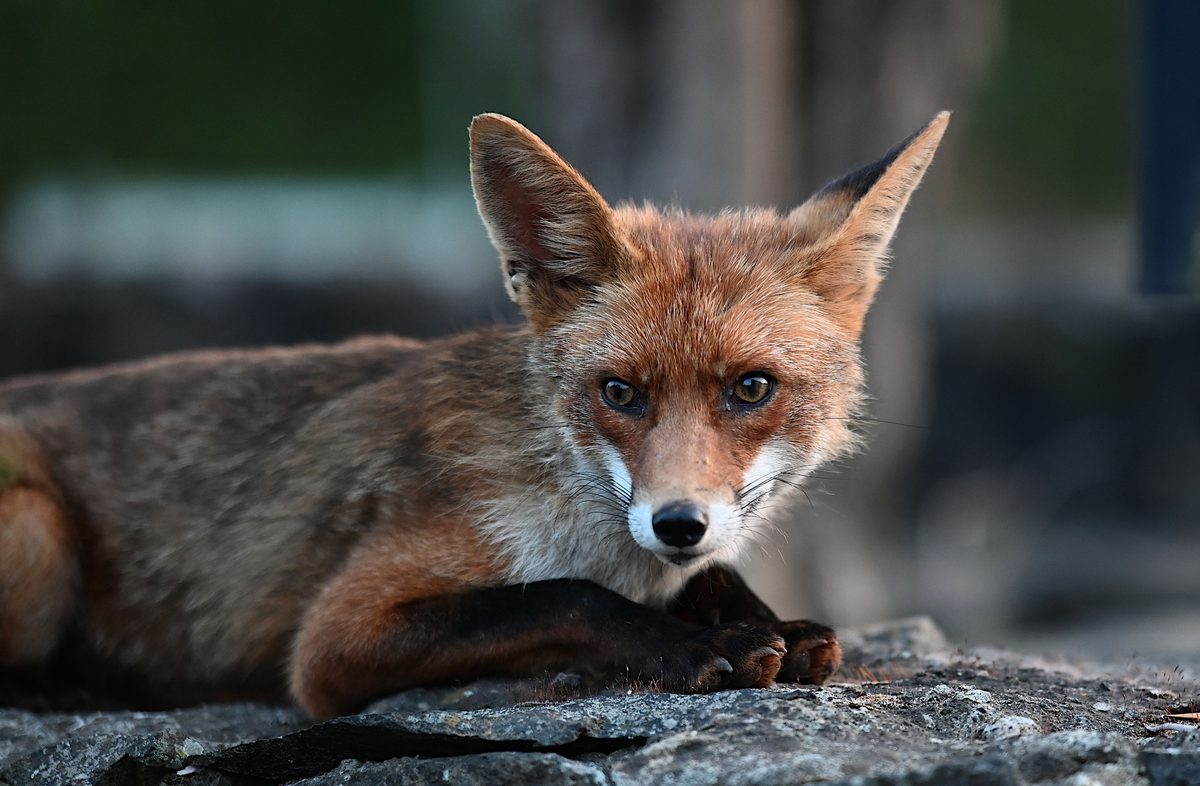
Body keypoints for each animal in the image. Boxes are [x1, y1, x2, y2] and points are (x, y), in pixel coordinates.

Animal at [0, 111, 948, 718]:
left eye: (750, 389)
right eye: (620, 393)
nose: (678, 522)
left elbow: (709, 578)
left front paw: (760, 618)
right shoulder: (335, 638)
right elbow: (559, 598)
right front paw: (690, 645)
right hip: (38, 528)